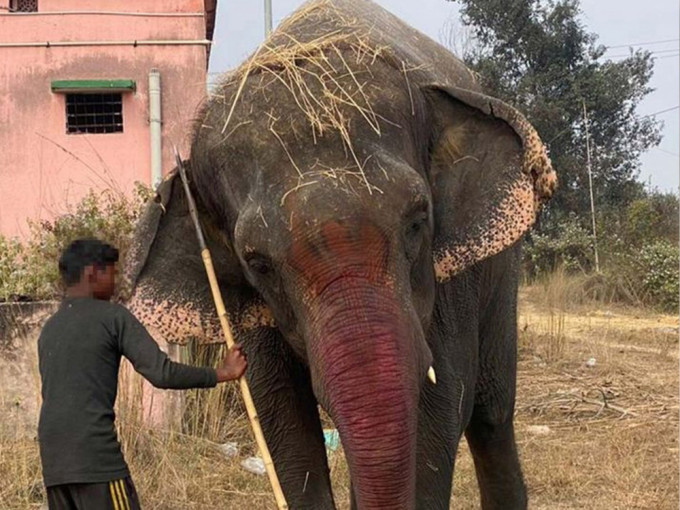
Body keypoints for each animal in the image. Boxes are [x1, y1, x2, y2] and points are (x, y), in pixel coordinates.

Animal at [125, 0, 556, 510]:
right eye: (257, 263)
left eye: (417, 221)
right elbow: (283, 423)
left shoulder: (447, 285)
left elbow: (441, 407)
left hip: (502, 274)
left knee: (492, 413)